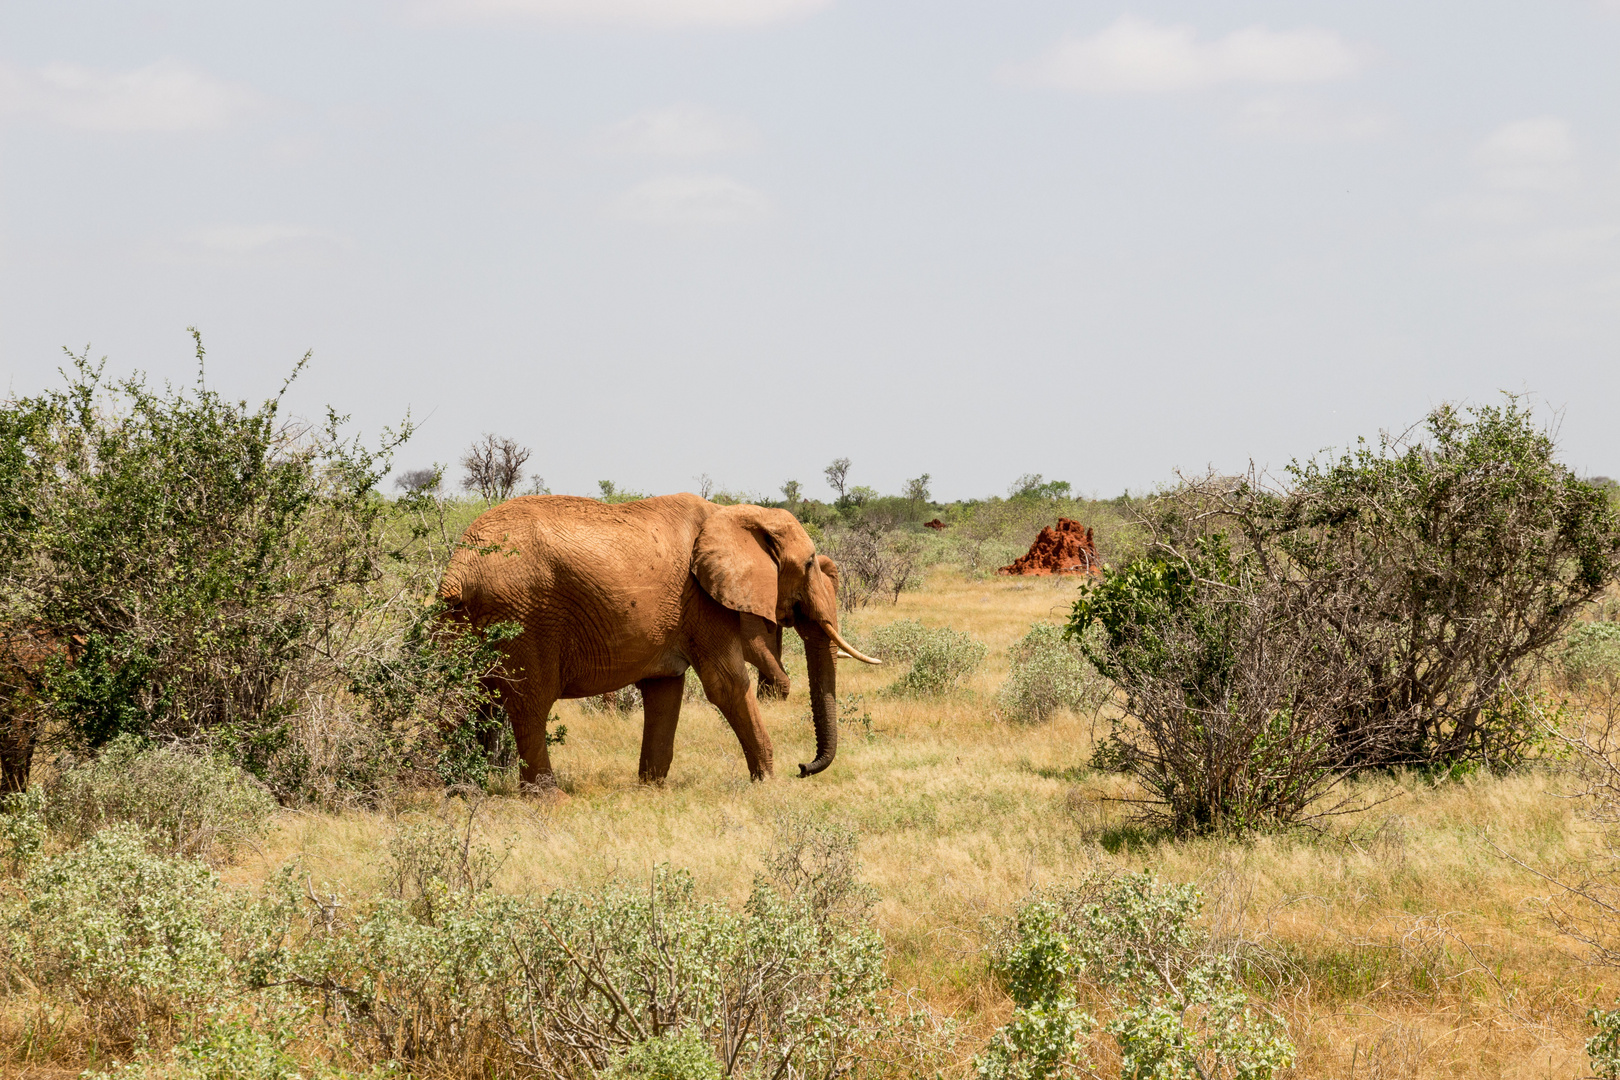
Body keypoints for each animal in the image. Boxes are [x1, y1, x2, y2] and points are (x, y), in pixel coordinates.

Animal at [437, 492, 881, 786]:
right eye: (809, 563)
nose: (803, 768)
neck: (738, 513)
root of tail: (458, 566)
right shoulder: (703, 601)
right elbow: (727, 684)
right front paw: (769, 783)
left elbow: (665, 691)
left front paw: (650, 787)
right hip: (524, 616)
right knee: (530, 702)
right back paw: (547, 795)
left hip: (463, 620)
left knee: (462, 698)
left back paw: (453, 787)